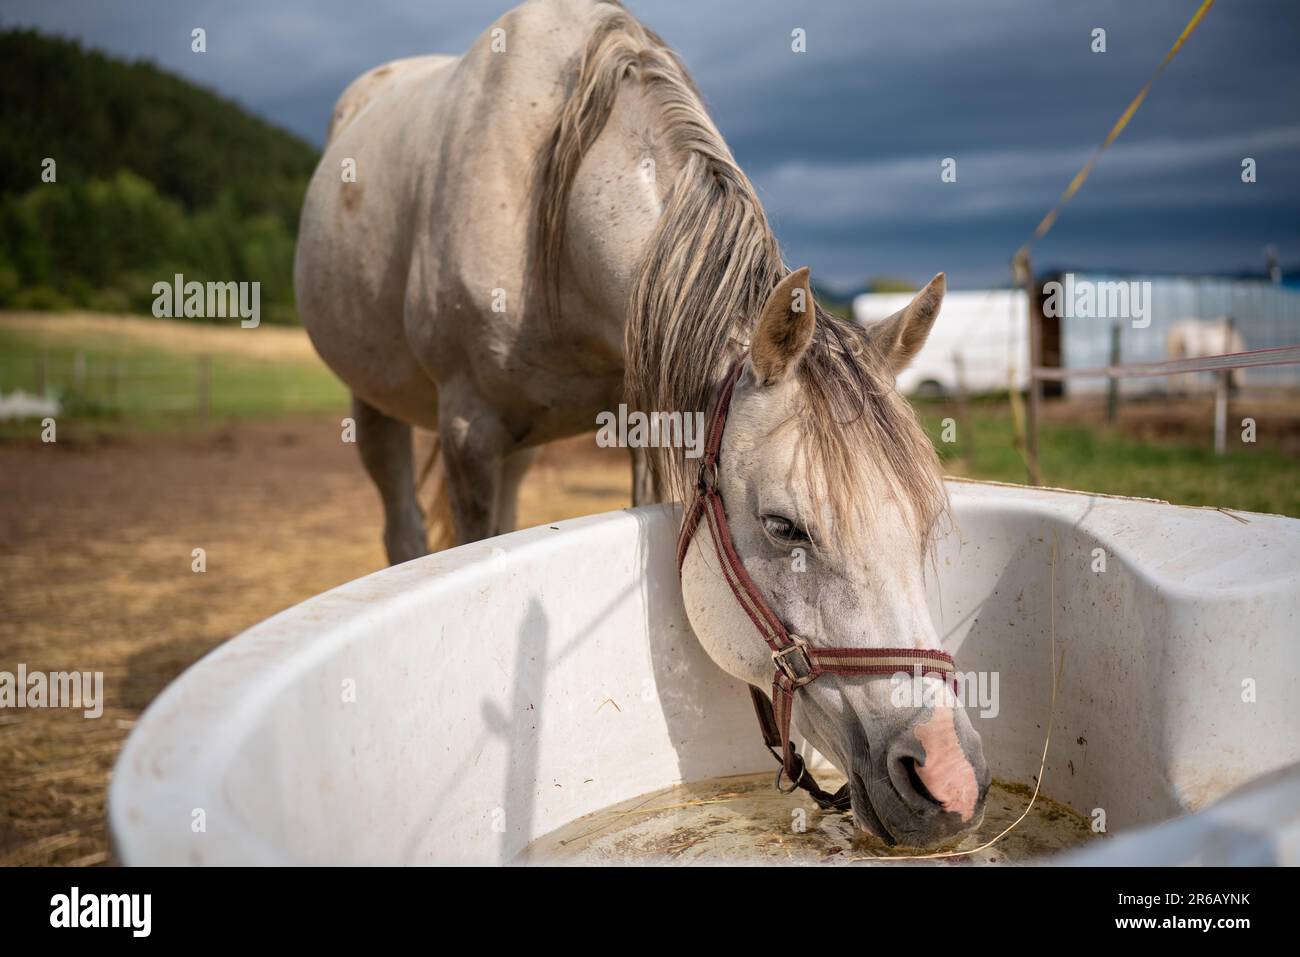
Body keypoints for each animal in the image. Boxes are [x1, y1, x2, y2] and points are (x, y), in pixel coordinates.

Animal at [295, 0, 982, 842]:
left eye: (923, 522)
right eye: (785, 526)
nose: (946, 778)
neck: (552, 214)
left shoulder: (641, 421)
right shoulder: (467, 430)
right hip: (378, 406)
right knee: (402, 523)